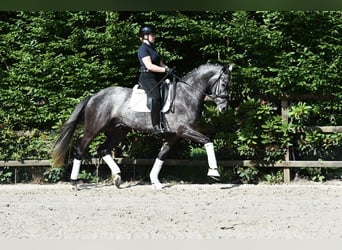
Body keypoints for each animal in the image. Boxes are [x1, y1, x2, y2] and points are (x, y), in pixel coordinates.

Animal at [51, 63, 232, 189]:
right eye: (224, 84)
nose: (224, 108)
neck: (187, 95)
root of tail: (94, 96)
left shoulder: (174, 135)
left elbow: (162, 155)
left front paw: (155, 181)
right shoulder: (184, 130)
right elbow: (208, 141)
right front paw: (214, 172)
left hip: (119, 131)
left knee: (103, 149)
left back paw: (117, 177)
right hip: (93, 129)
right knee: (80, 150)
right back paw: (74, 183)